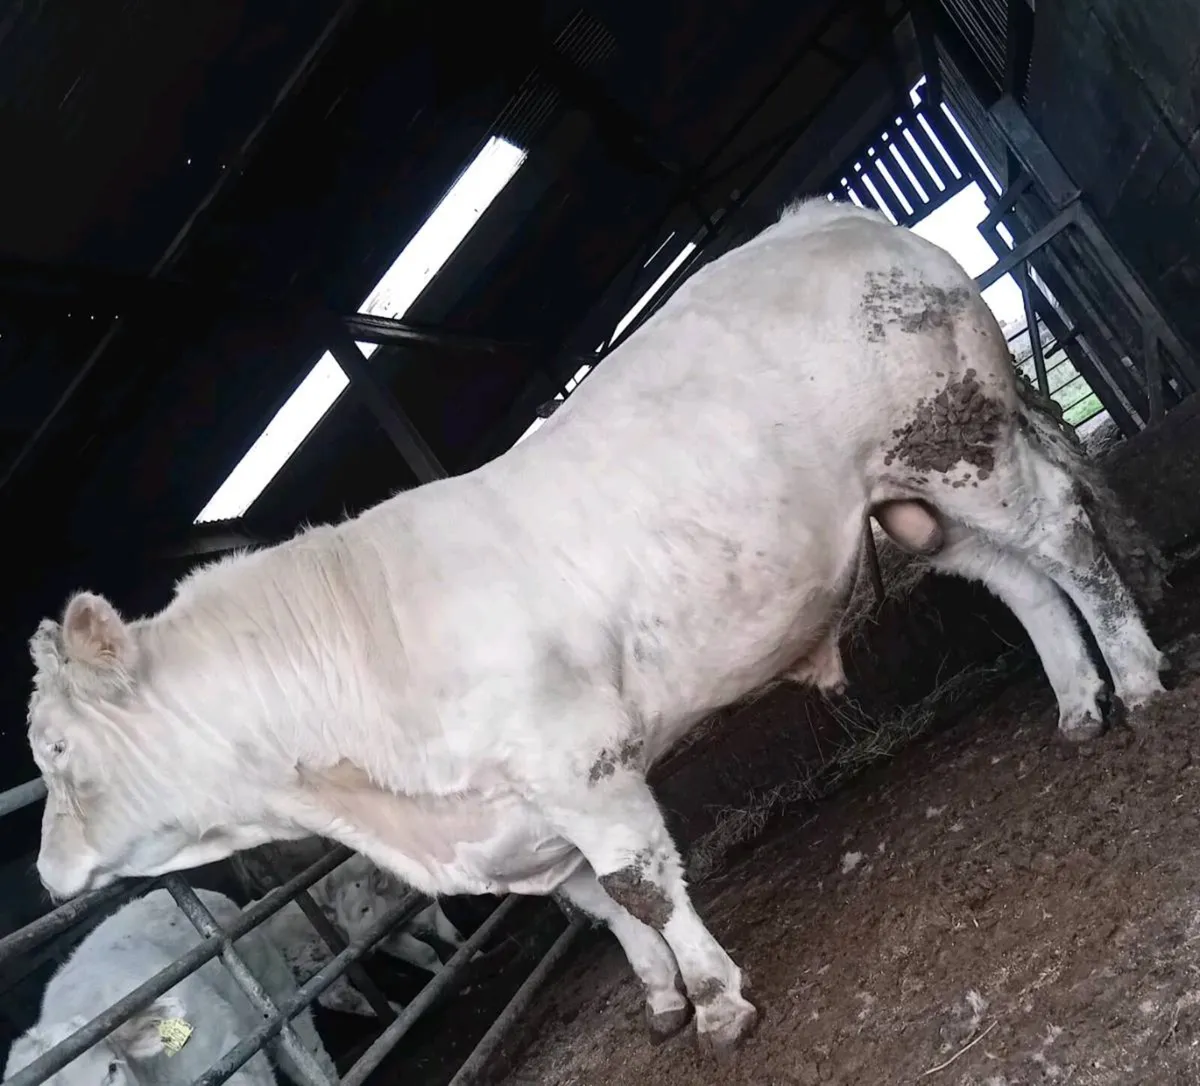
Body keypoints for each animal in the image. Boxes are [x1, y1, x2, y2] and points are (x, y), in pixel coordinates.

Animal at [25, 197, 1169, 1058]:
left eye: (54, 749)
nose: (42, 877)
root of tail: (829, 217)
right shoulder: (523, 821)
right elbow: (602, 913)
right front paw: (660, 1001)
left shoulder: (582, 765)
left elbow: (640, 887)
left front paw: (716, 1003)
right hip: (911, 497)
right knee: (1017, 582)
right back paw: (1076, 705)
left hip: (962, 447)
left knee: (1066, 544)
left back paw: (1140, 679)